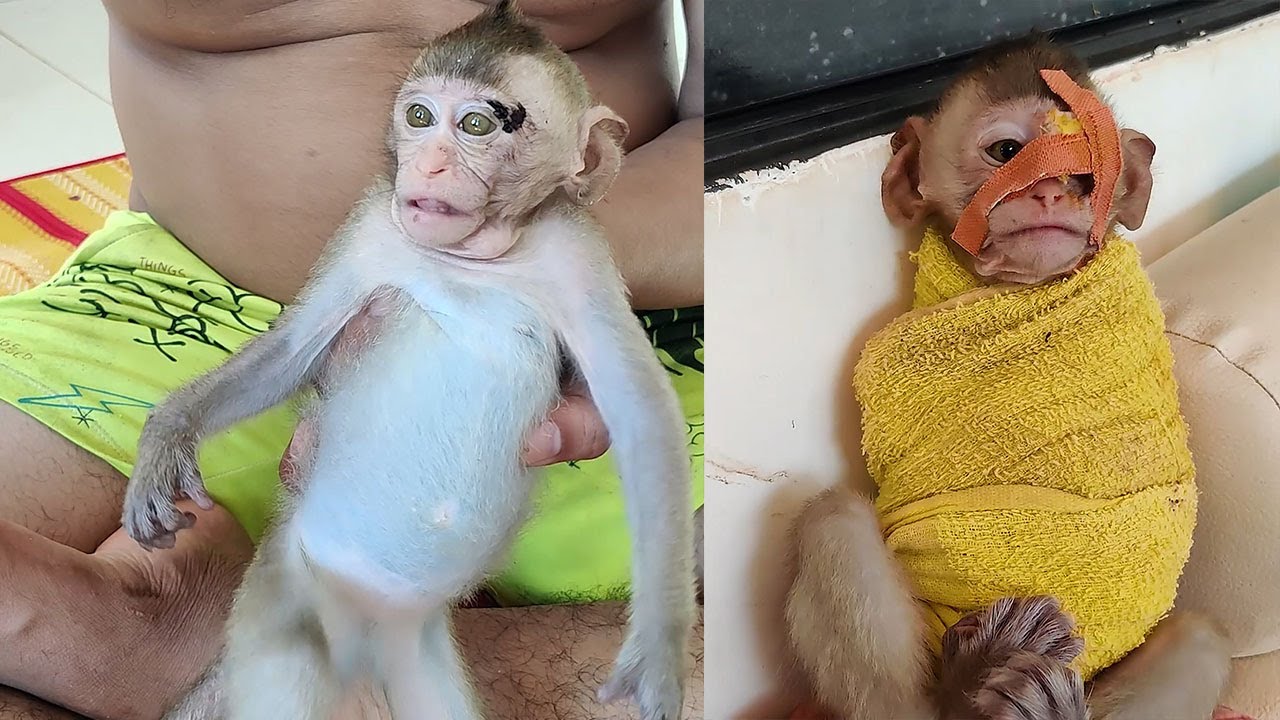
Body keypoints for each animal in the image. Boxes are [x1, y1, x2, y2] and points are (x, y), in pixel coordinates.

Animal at [784, 36, 1235, 720]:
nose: (1054, 191)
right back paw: (966, 688)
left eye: (1089, 169)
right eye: (1006, 152)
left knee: (1204, 639)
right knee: (833, 519)